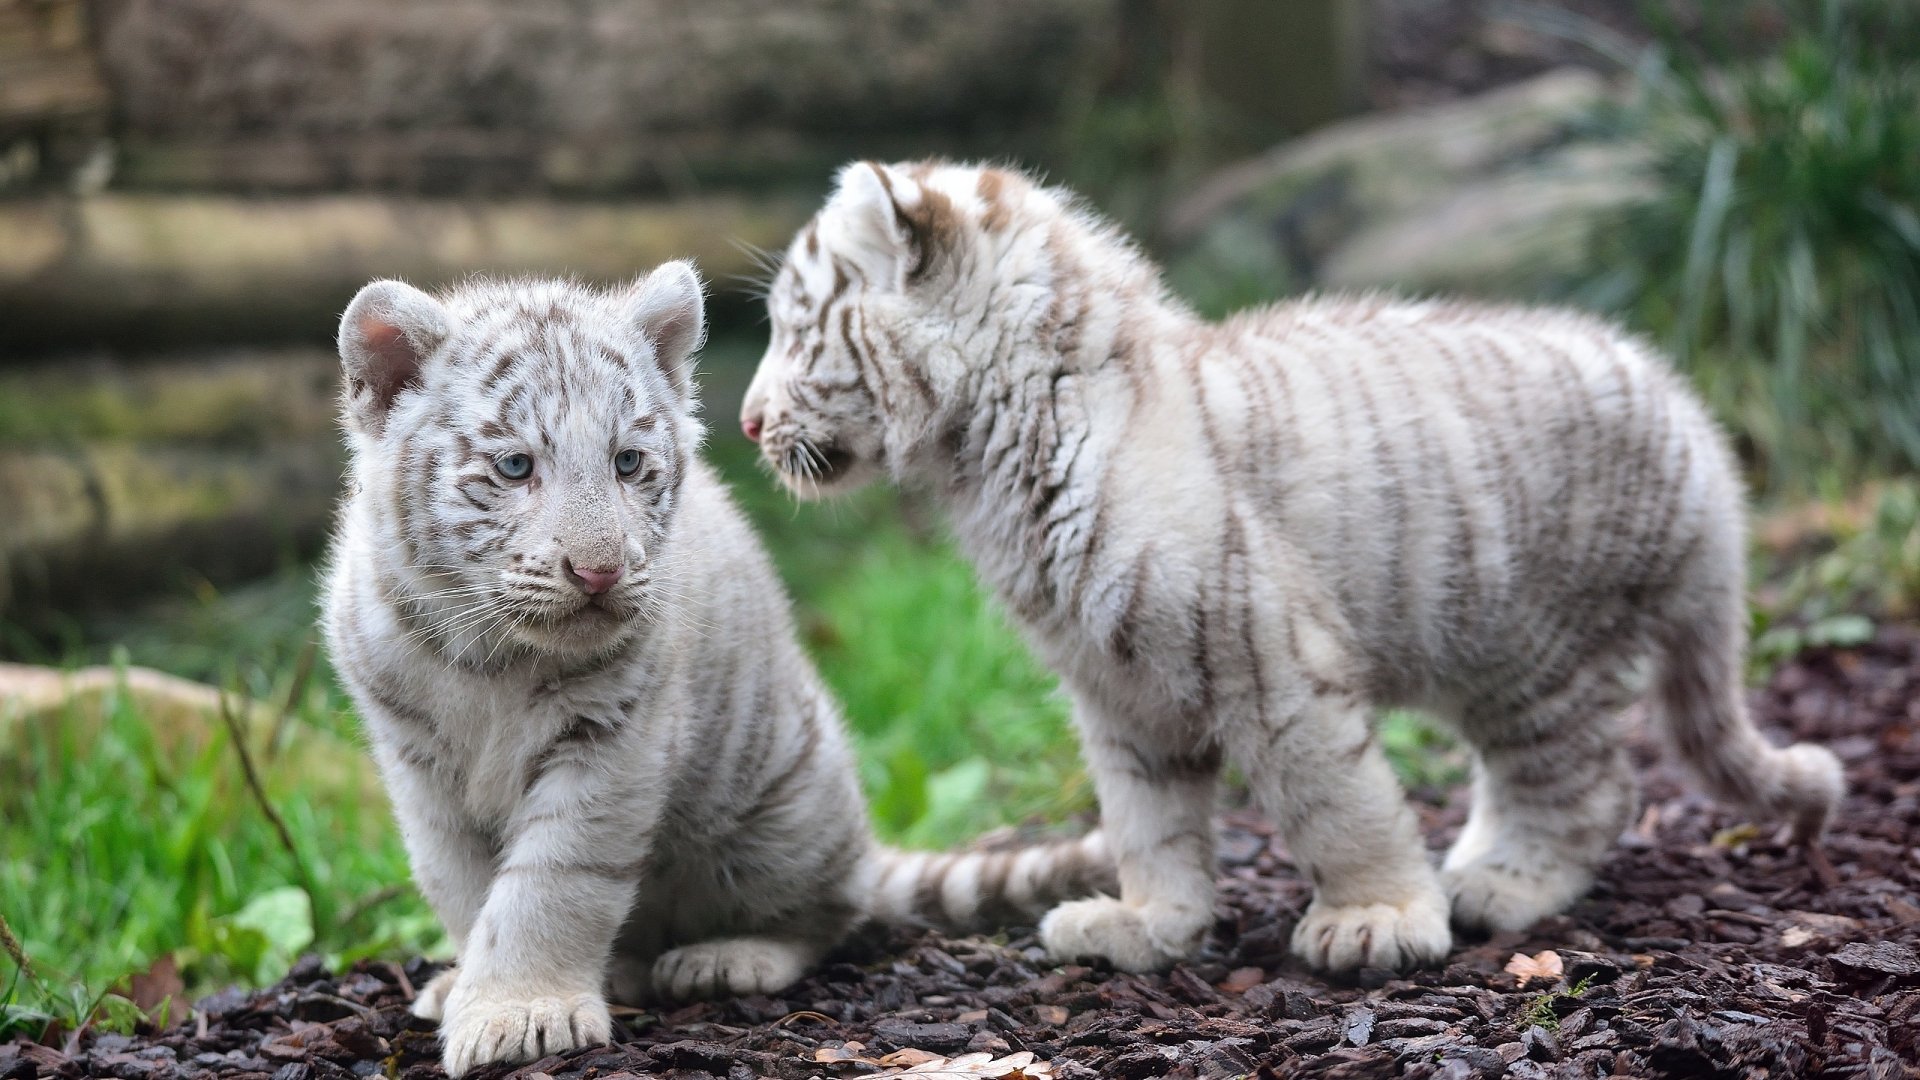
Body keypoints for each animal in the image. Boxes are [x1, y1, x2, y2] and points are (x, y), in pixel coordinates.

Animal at [321, 264, 1111, 1076]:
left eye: (627, 463)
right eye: (515, 467)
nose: (600, 572)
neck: (493, 654)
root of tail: (863, 849)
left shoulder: (611, 745)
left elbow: (552, 885)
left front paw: (521, 1011)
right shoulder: (419, 764)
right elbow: (460, 882)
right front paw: (478, 990)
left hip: (788, 815)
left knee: (828, 915)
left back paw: (726, 959)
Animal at [737, 160, 1845, 975]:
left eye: (795, 330)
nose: (745, 423)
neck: (994, 457)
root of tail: (1693, 425)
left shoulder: (1268, 658)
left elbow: (1335, 802)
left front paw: (1378, 921)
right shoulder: (1117, 690)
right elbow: (1146, 819)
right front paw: (1149, 926)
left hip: (1537, 652)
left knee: (1591, 785)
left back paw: (1501, 885)